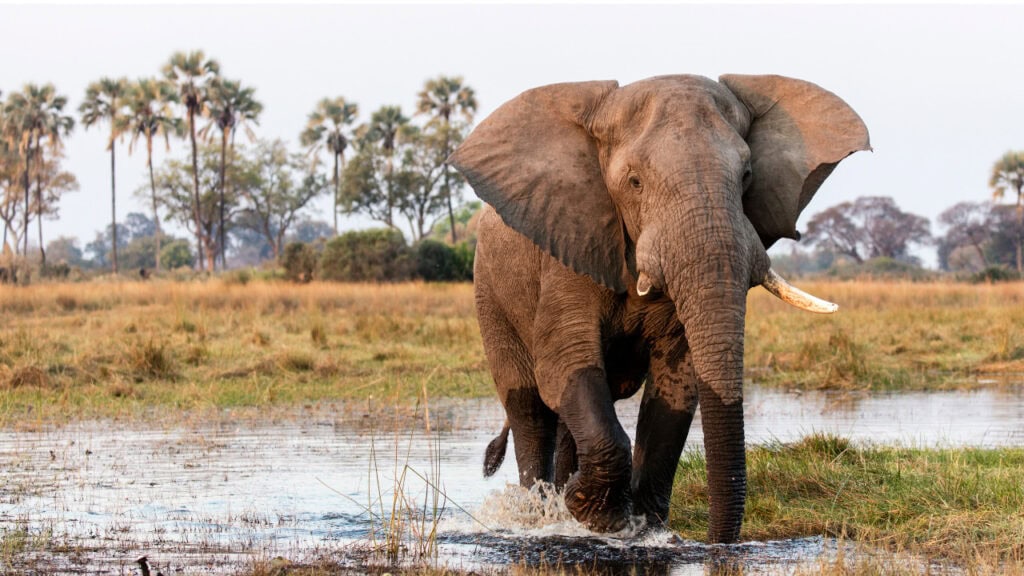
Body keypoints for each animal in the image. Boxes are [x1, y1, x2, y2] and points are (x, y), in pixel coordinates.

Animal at [452, 73, 868, 541]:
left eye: (746, 176)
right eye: (634, 182)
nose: (716, 544)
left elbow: (675, 384)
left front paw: (640, 527)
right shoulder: (569, 249)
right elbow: (564, 363)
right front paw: (595, 515)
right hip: (489, 293)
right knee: (529, 407)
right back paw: (537, 513)